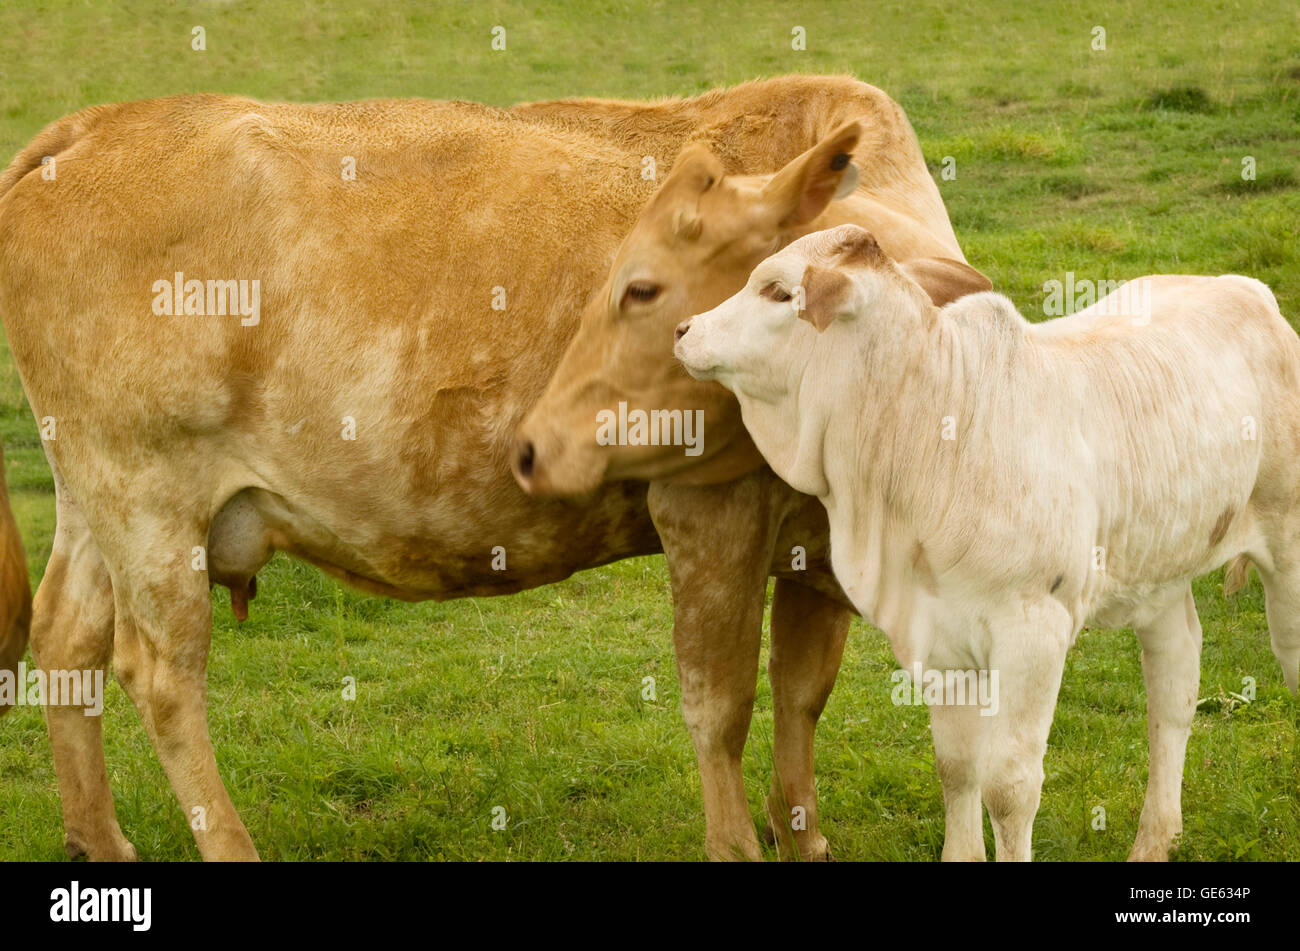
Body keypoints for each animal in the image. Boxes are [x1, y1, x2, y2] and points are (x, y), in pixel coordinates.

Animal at [676, 224, 1300, 862]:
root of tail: (1245, 289)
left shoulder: (1034, 632)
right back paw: (1154, 838)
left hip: (1287, 547)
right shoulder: (936, 634)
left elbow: (1009, 787)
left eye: (777, 292)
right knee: (1174, 691)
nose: (684, 329)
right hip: (1160, 573)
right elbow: (957, 768)